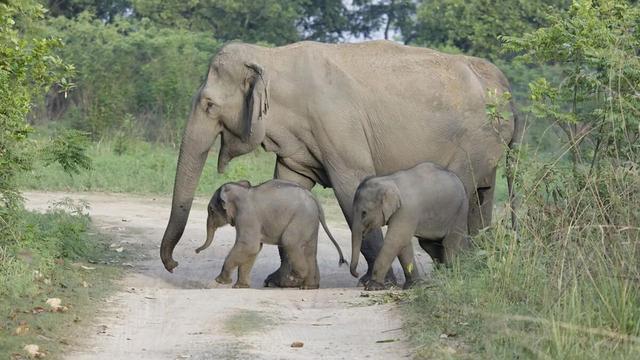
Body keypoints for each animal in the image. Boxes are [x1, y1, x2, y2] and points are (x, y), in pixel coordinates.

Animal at [199, 180, 348, 290]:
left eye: (211, 210)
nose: (197, 251)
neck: (242, 189)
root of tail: (314, 199)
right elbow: (254, 249)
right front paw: (240, 286)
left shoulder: (246, 216)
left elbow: (249, 246)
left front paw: (221, 281)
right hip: (310, 222)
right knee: (310, 250)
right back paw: (308, 287)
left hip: (301, 218)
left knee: (289, 241)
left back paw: (294, 278)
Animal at [350, 162, 470, 292]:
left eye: (364, 213)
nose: (356, 274)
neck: (387, 180)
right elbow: (403, 245)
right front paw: (413, 286)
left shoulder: (407, 210)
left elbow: (396, 241)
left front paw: (373, 286)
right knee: (429, 245)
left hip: (460, 211)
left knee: (449, 243)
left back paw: (449, 278)